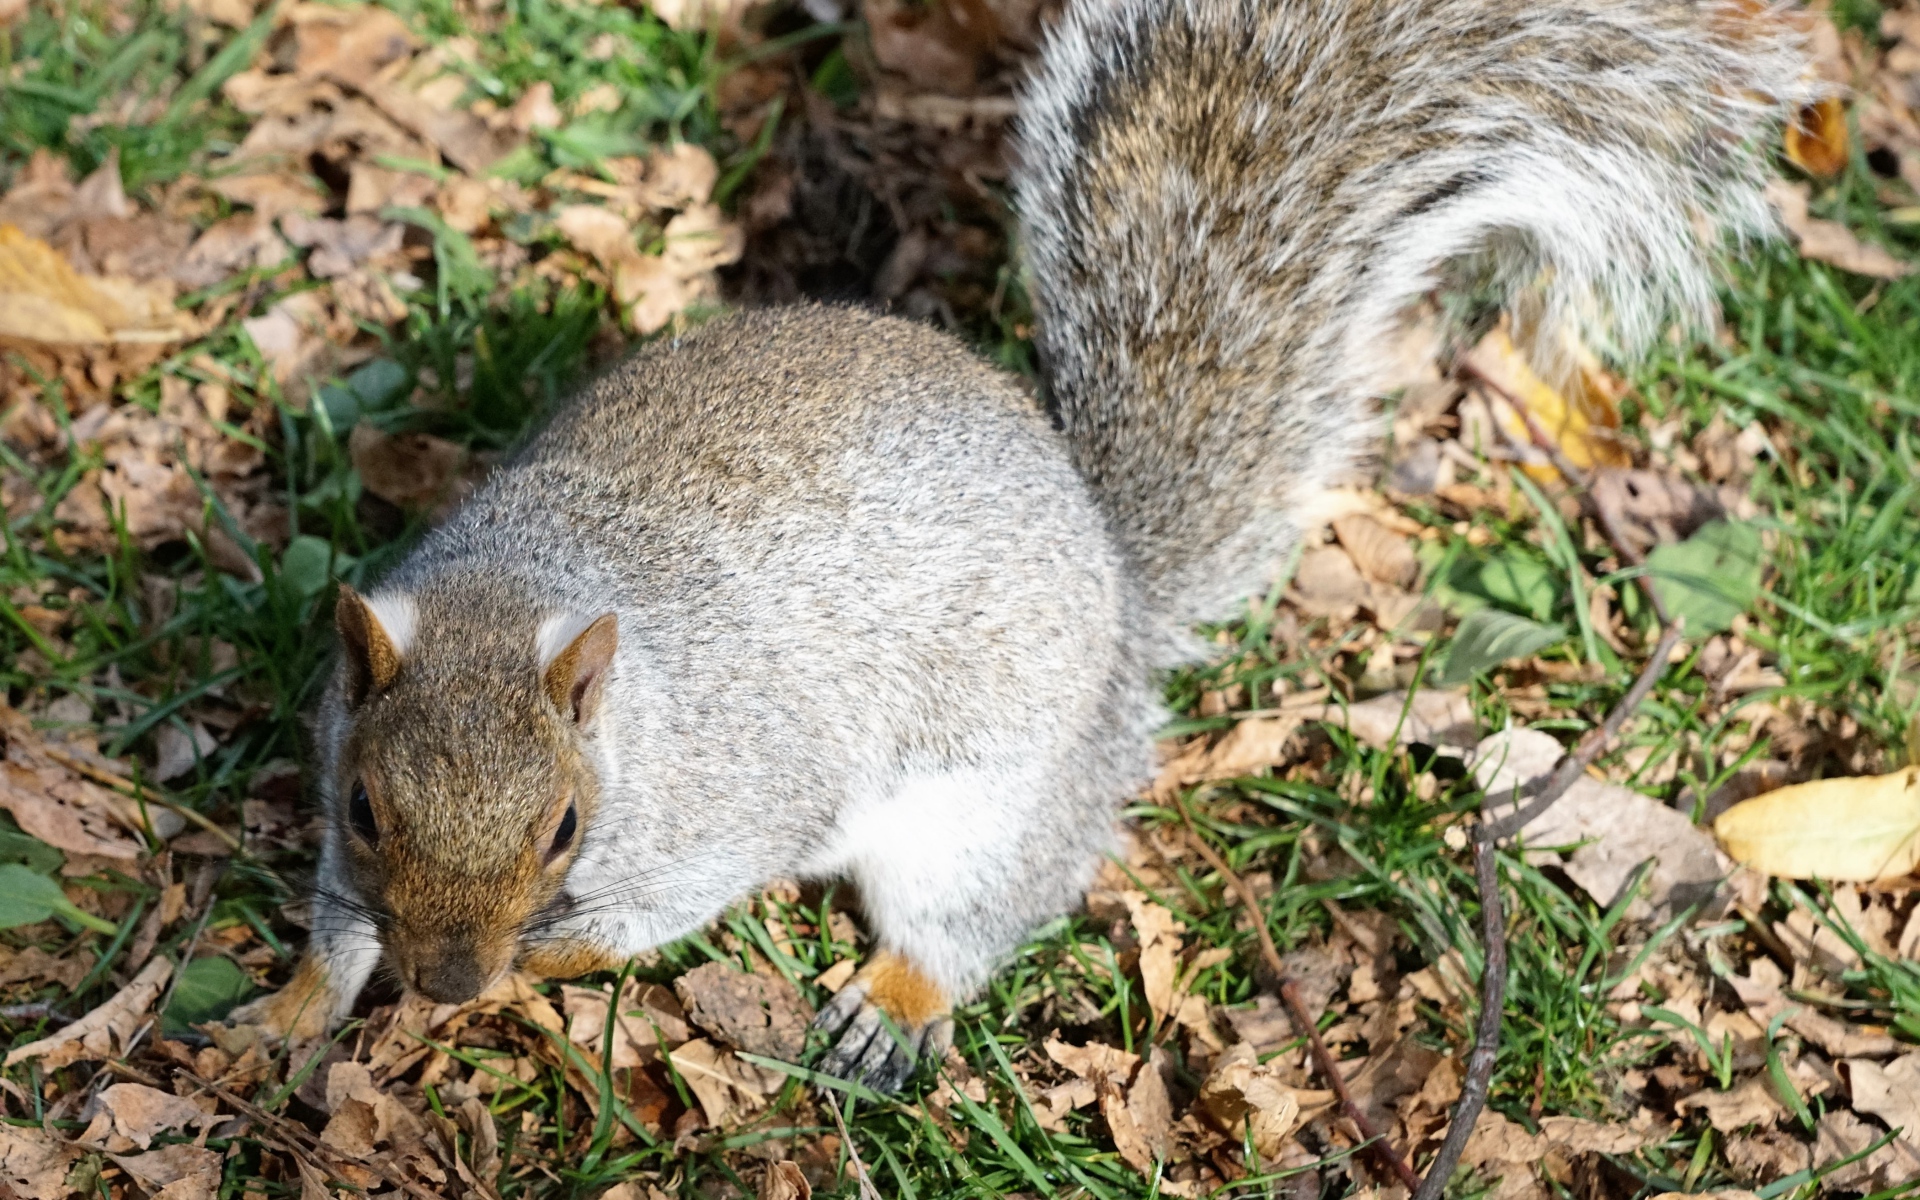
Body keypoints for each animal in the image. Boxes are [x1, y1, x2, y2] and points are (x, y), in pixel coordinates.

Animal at [240, 0, 1808, 1091]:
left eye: (564, 827)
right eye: (367, 805)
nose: (447, 982)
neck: (537, 593)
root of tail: (1114, 574)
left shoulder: (744, 792)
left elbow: (668, 901)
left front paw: (544, 957)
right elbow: (334, 914)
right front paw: (292, 1005)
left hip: (989, 798)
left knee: (982, 906)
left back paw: (893, 1006)